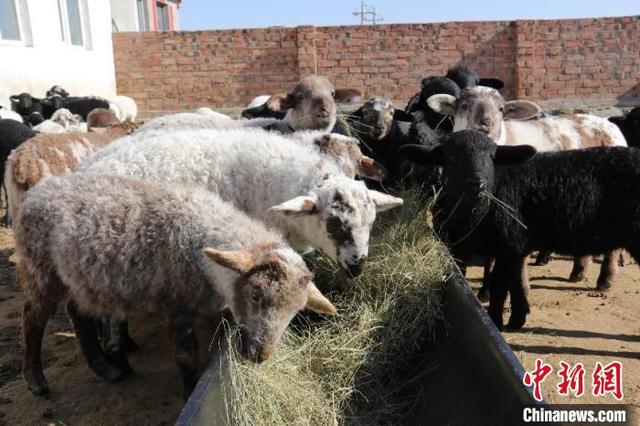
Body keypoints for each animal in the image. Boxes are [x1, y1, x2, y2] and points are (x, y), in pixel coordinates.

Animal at [402, 131, 640, 332]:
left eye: (492, 157)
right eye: (451, 158)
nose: (477, 183)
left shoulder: (509, 244)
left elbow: (499, 284)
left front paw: (497, 322)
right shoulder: (499, 246)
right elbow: (512, 281)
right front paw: (517, 318)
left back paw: (603, 281)